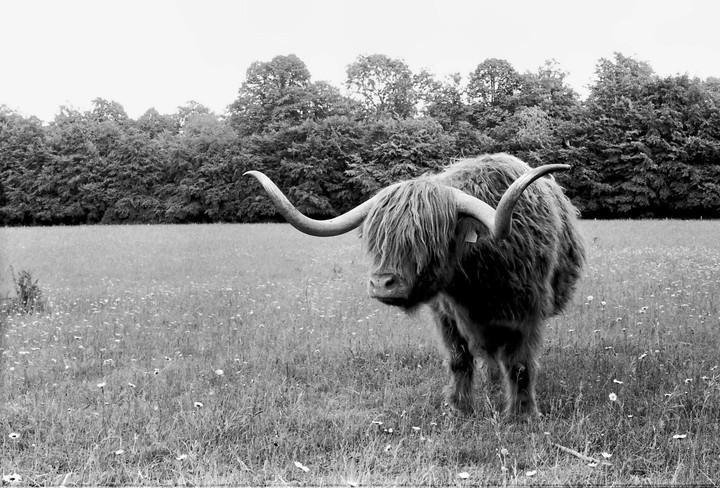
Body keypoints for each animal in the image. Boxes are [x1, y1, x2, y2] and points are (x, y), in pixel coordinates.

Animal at [245, 153, 585, 417]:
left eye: (425, 240)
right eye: (377, 238)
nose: (382, 284)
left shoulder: (526, 314)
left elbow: (519, 365)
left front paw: (522, 415)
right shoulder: (446, 315)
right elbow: (459, 360)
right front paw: (459, 408)